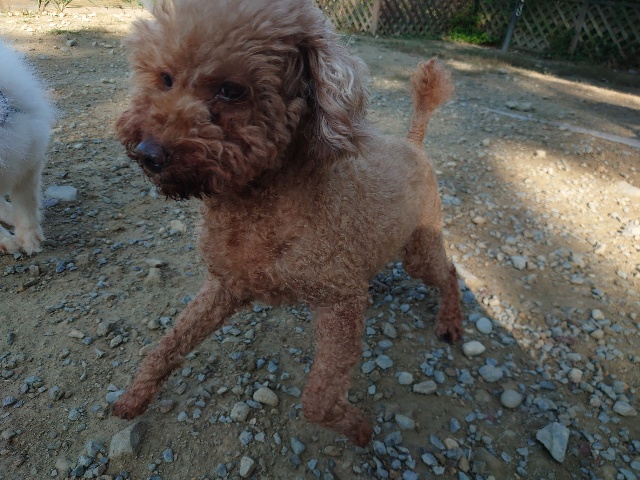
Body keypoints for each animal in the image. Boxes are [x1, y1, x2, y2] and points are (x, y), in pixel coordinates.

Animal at [112, 0, 462, 447]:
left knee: (448, 272)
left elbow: (316, 400)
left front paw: (360, 428)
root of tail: (413, 142)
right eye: (166, 79)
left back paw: (450, 322)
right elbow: (166, 346)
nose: (147, 153)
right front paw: (133, 398)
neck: (259, 204)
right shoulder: (226, 285)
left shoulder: (339, 302)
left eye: (232, 89)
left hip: (420, 246)